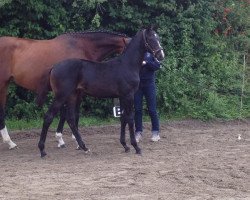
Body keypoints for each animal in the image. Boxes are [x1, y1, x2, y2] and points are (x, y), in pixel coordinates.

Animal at [0, 30, 129, 149]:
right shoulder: (75, 91)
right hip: (2, 85)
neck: (82, 46)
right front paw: (71, 140)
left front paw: (62, 139)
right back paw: (10, 142)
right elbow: (71, 113)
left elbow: (65, 113)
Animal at [37, 26, 165, 157]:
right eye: (151, 38)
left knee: (70, 119)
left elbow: (123, 118)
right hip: (61, 96)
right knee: (49, 116)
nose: (161, 55)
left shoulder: (122, 96)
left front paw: (125, 145)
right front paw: (136, 147)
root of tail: (54, 67)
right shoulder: (128, 95)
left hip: (72, 96)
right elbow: (130, 118)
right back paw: (42, 150)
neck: (127, 64)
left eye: (158, 37)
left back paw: (84, 147)